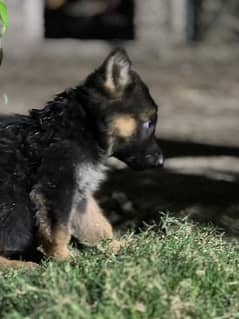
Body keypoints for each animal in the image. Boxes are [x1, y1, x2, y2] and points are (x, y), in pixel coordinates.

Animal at [0, 49, 163, 270]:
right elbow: (58, 232)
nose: (161, 162)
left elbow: (98, 225)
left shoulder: (80, 195)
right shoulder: (56, 188)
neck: (82, 128)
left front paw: (116, 246)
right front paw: (64, 260)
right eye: (148, 124)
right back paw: (19, 266)